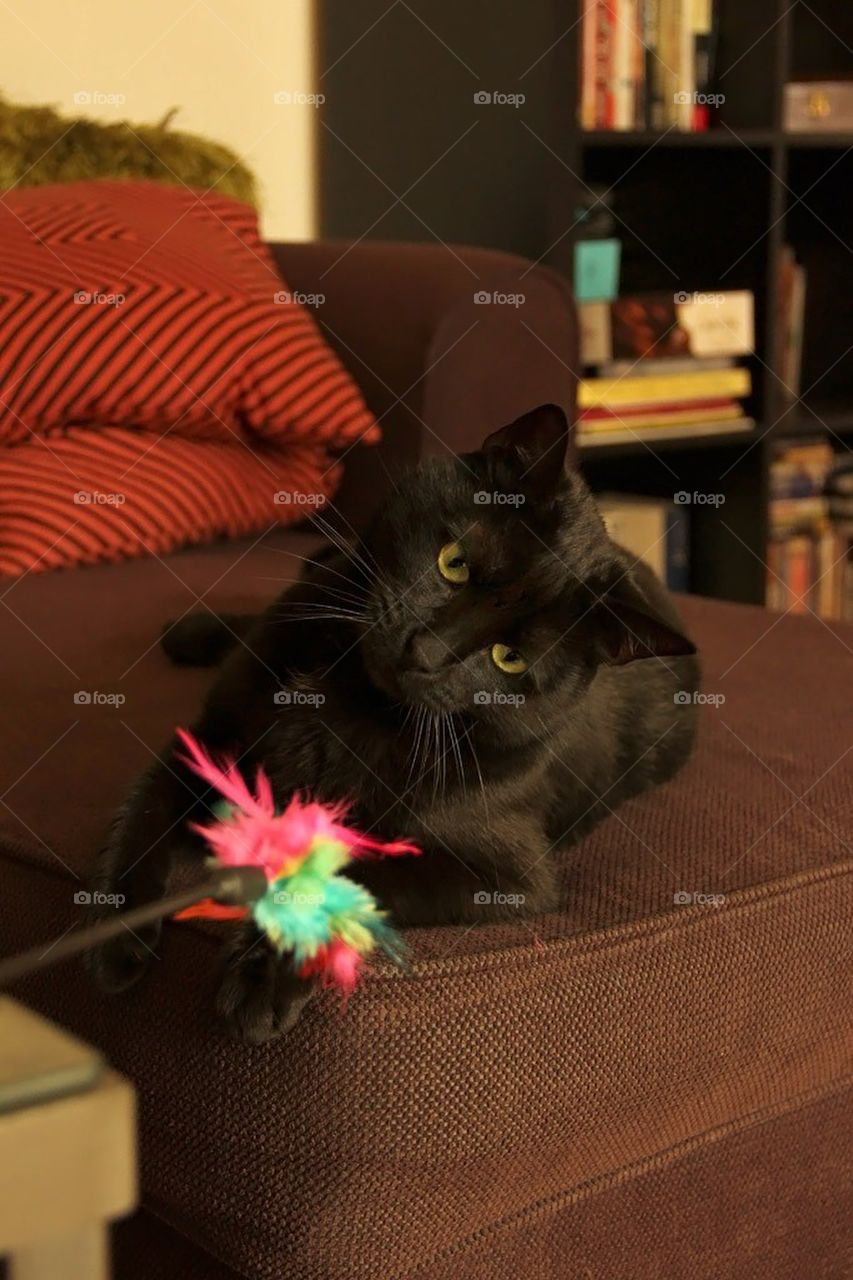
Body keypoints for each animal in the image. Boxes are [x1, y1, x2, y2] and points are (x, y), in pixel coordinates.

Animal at [89, 404, 696, 1044]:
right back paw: (190, 631)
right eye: (454, 564)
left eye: (510, 659)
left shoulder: (506, 876)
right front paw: (114, 933)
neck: (351, 701)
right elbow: (142, 815)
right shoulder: (211, 742)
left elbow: (355, 871)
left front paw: (262, 978)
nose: (424, 652)